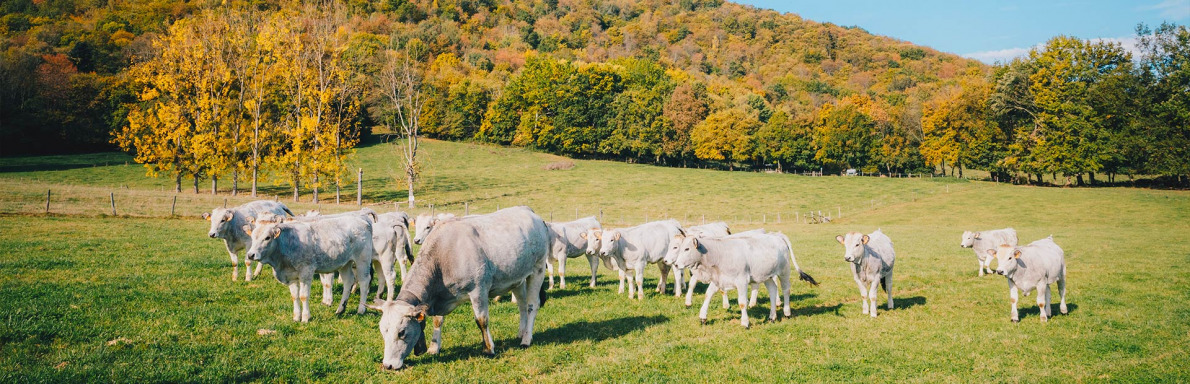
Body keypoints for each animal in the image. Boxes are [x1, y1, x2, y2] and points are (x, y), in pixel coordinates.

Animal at [241, 215, 371, 323]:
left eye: (267, 238)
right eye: (252, 237)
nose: (251, 255)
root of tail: (362, 219)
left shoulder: (306, 272)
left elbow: (303, 296)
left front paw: (305, 317)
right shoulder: (290, 276)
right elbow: (295, 296)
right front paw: (296, 317)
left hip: (362, 260)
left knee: (364, 282)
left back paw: (361, 309)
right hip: (345, 263)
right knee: (348, 281)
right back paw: (341, 309)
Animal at [366, 205, 547, 370]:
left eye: (402, 332)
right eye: (383, 331)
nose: (388, 365)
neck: (445, 256)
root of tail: (527, 210)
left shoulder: (478, 290)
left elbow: (482, 320)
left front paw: (488, 348)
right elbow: (438, 320)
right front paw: (434, 347)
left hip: (537, 270)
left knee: (532, 305)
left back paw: (526, 339)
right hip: (518, 278)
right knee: (522, 305)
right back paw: (521, 332)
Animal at [675, 231, 813, 328]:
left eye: (687, 249)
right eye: (680, 248)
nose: (676, 264)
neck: (720, 254)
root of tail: (776, 235)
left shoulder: (741, 281)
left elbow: (742, 302)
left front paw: (745, 322)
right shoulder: (719, 278)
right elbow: (708, 295)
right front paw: (703, 317)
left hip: (784, 271)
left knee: (786, 290)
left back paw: (787, 312)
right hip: (767, 275)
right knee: (773, 290)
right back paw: (772, 316)